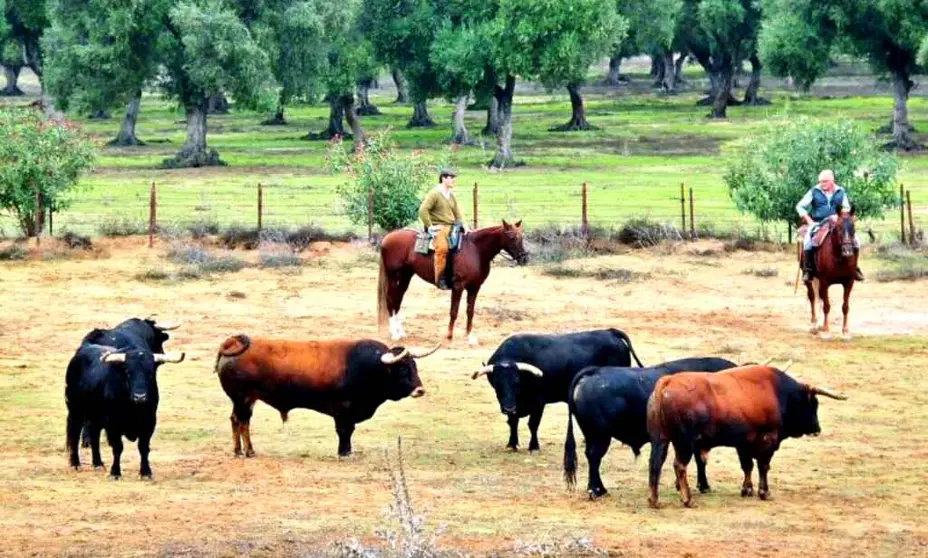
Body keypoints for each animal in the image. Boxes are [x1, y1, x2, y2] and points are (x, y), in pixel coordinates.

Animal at [214, 336, 438, 460]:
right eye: (402, 368)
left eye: (414, 366)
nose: (420, 390)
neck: (369, 367)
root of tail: (233, 341)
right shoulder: (343, 410)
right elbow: (344, 431)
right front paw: (344, 452)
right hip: (243, 399)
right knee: (242, 422)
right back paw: (247, 452)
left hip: (244, 401)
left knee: (237, 421)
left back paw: (240, 451)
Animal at [378, 220, 528, 346]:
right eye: (512, 237)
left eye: (521, 236)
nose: (524, 258)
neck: (476, 249)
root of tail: (387, 237)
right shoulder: (458, 286)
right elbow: (454, 311)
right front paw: (449, 335)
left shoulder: (474, 287)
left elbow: (470, 311)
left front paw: (469, 337)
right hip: (394, 277)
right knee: (391, 300)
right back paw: (395, 334)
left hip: (405, 277)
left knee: (398, 300)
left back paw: (401, 332)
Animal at [472, 328, 644, 456]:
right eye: (497, 384)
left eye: (516, 382)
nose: (508, 407)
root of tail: (610, 332)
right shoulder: (514, 404)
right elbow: (513, 422)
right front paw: (512, 444)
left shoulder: (538, 402)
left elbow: (533, 424)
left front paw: (533, 447)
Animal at [560, 360, 740, 500]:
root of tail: (594, 371)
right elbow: (699, 461)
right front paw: (703, 486)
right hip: (600, 437)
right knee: (594, 458)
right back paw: (596, 491)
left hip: (593, 436)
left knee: (591, 457)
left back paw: (599, 489)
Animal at [648, 366, 844, 510]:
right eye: (813, 403)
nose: (817, 428)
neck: (778, 392)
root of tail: (668, 381)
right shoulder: (768, 440)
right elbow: (763, 466)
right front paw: (764, 492)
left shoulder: (743, 444)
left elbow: (747, 466)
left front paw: (747, 489)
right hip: (684, 443)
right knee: (679, 466)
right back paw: (688, 500)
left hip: (661, 440)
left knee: (655, 464)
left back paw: (654, 500)